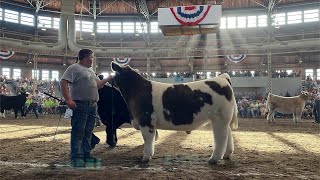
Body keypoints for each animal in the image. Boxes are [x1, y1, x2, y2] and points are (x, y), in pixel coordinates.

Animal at [110, 62, 238, 165]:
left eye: (114, 74)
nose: (108, 80)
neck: (137, 90)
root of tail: (222, 77)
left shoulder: (146, 121)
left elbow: (148, 140)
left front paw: (145, 158)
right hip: (223, 120)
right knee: (228, 135)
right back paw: (227, 155)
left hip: (219, 119)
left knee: (221, 138)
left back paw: (214, 159)